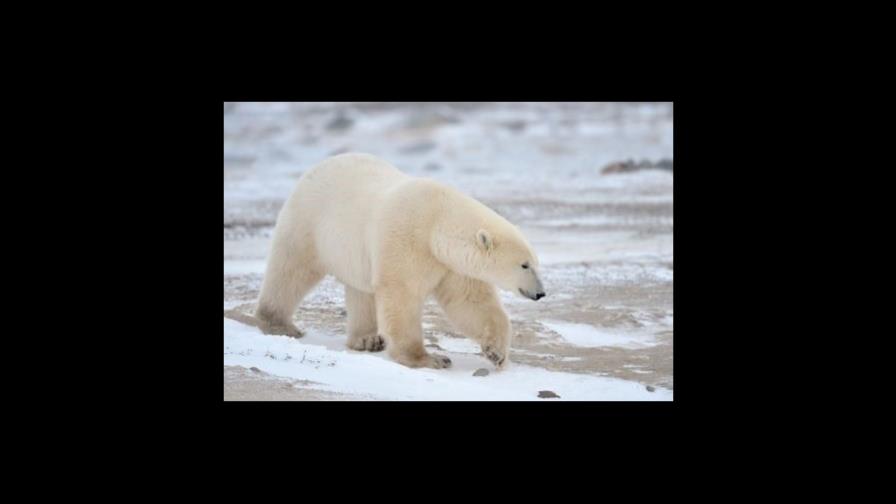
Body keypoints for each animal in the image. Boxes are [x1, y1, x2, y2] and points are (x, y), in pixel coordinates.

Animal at [254, 154, 544, 370]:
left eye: (535, 262)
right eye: (524, 265)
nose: (540, 293)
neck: (436, 222)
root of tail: (318, 166)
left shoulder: (451, 265)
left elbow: (470, 303)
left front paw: (496, 352)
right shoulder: (406, 239)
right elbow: (401, 297)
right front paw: (430, 359)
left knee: (361, 290)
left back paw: (367, 339)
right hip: (308, 221)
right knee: (291, 269)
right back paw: (278, 322)